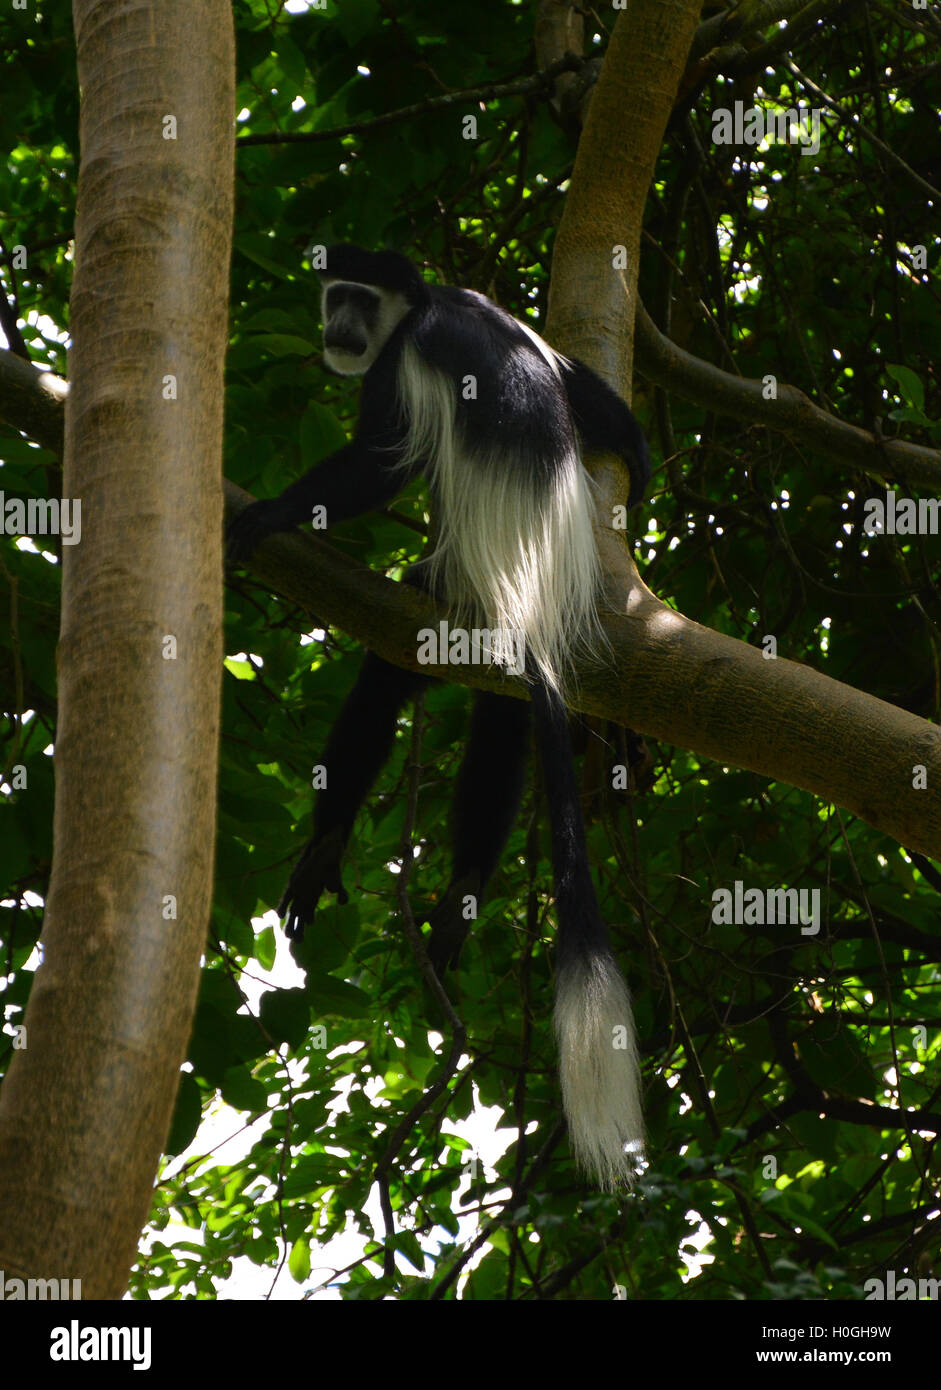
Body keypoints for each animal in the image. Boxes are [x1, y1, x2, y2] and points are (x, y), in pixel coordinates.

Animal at [230, 244, 650, 1189]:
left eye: (354, 299)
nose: (335, 328)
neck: (422, 305)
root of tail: (530, 598)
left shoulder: (402, 365)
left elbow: (378, 463)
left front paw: (268, 514)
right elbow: (602, 410)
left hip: (451, 597)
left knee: (383, 684)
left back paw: (327, 843)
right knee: (501, 737)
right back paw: (462, 886)